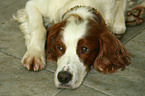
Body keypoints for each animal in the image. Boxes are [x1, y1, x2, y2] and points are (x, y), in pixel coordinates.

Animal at [13, 0, 144, 89]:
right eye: (59, 47)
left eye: (84, 49)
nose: (63, 77)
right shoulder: (33, 4)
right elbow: (39, 28)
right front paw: (34, 54)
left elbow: (119, 26)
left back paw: (138, 12)